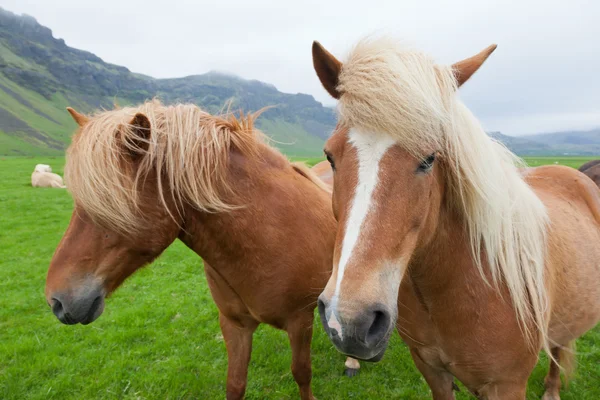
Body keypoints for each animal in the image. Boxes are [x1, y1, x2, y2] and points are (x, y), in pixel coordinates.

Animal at [45, 102, 360, 400]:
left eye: (110, 203)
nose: (57, 300)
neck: (266, 237)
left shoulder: (299, 321)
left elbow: (302, 373)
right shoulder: (235, 324)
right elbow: (235, 385)